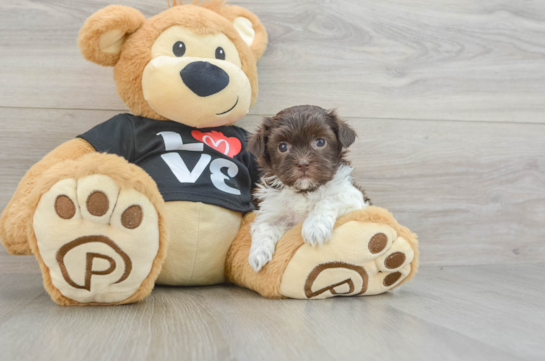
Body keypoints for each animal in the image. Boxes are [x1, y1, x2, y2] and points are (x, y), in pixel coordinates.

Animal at [246, 105, 370, 272]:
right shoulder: (272, 210)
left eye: (320, 142)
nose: (303, 164)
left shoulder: (353, 195)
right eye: (282, 146)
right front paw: (258, 254)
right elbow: (264, 226)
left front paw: (314, 227)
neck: (304, 190)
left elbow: (328, 199)